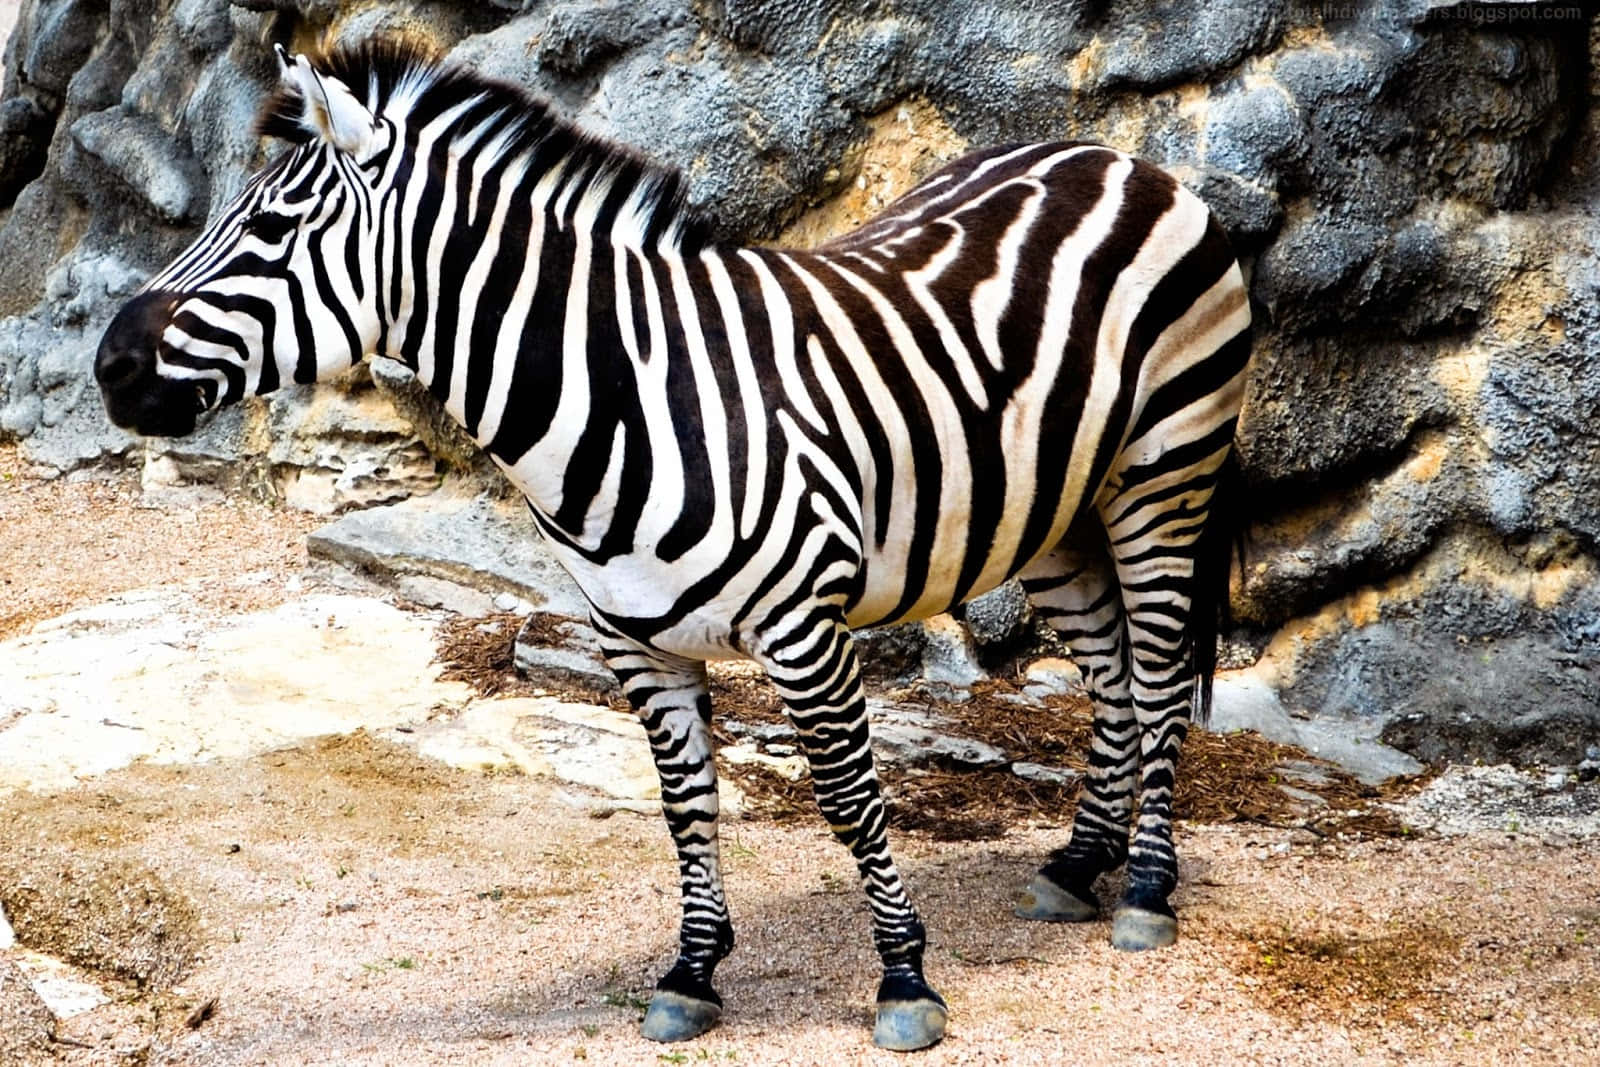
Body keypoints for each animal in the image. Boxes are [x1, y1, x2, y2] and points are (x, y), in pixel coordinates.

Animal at [95, 40, 1252, 1052]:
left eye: (271, 226)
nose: (108, 366)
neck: (627, 397)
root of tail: (1116, 157)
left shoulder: (805, 630)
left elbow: (848, 798)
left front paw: (903, 979)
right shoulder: (636, 641)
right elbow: (685, 803)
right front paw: (693, 971)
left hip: (1164, 475)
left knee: (1155, 675)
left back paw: (1146, 888)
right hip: (1047, 511)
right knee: (1109, 675)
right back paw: (1078, 864)